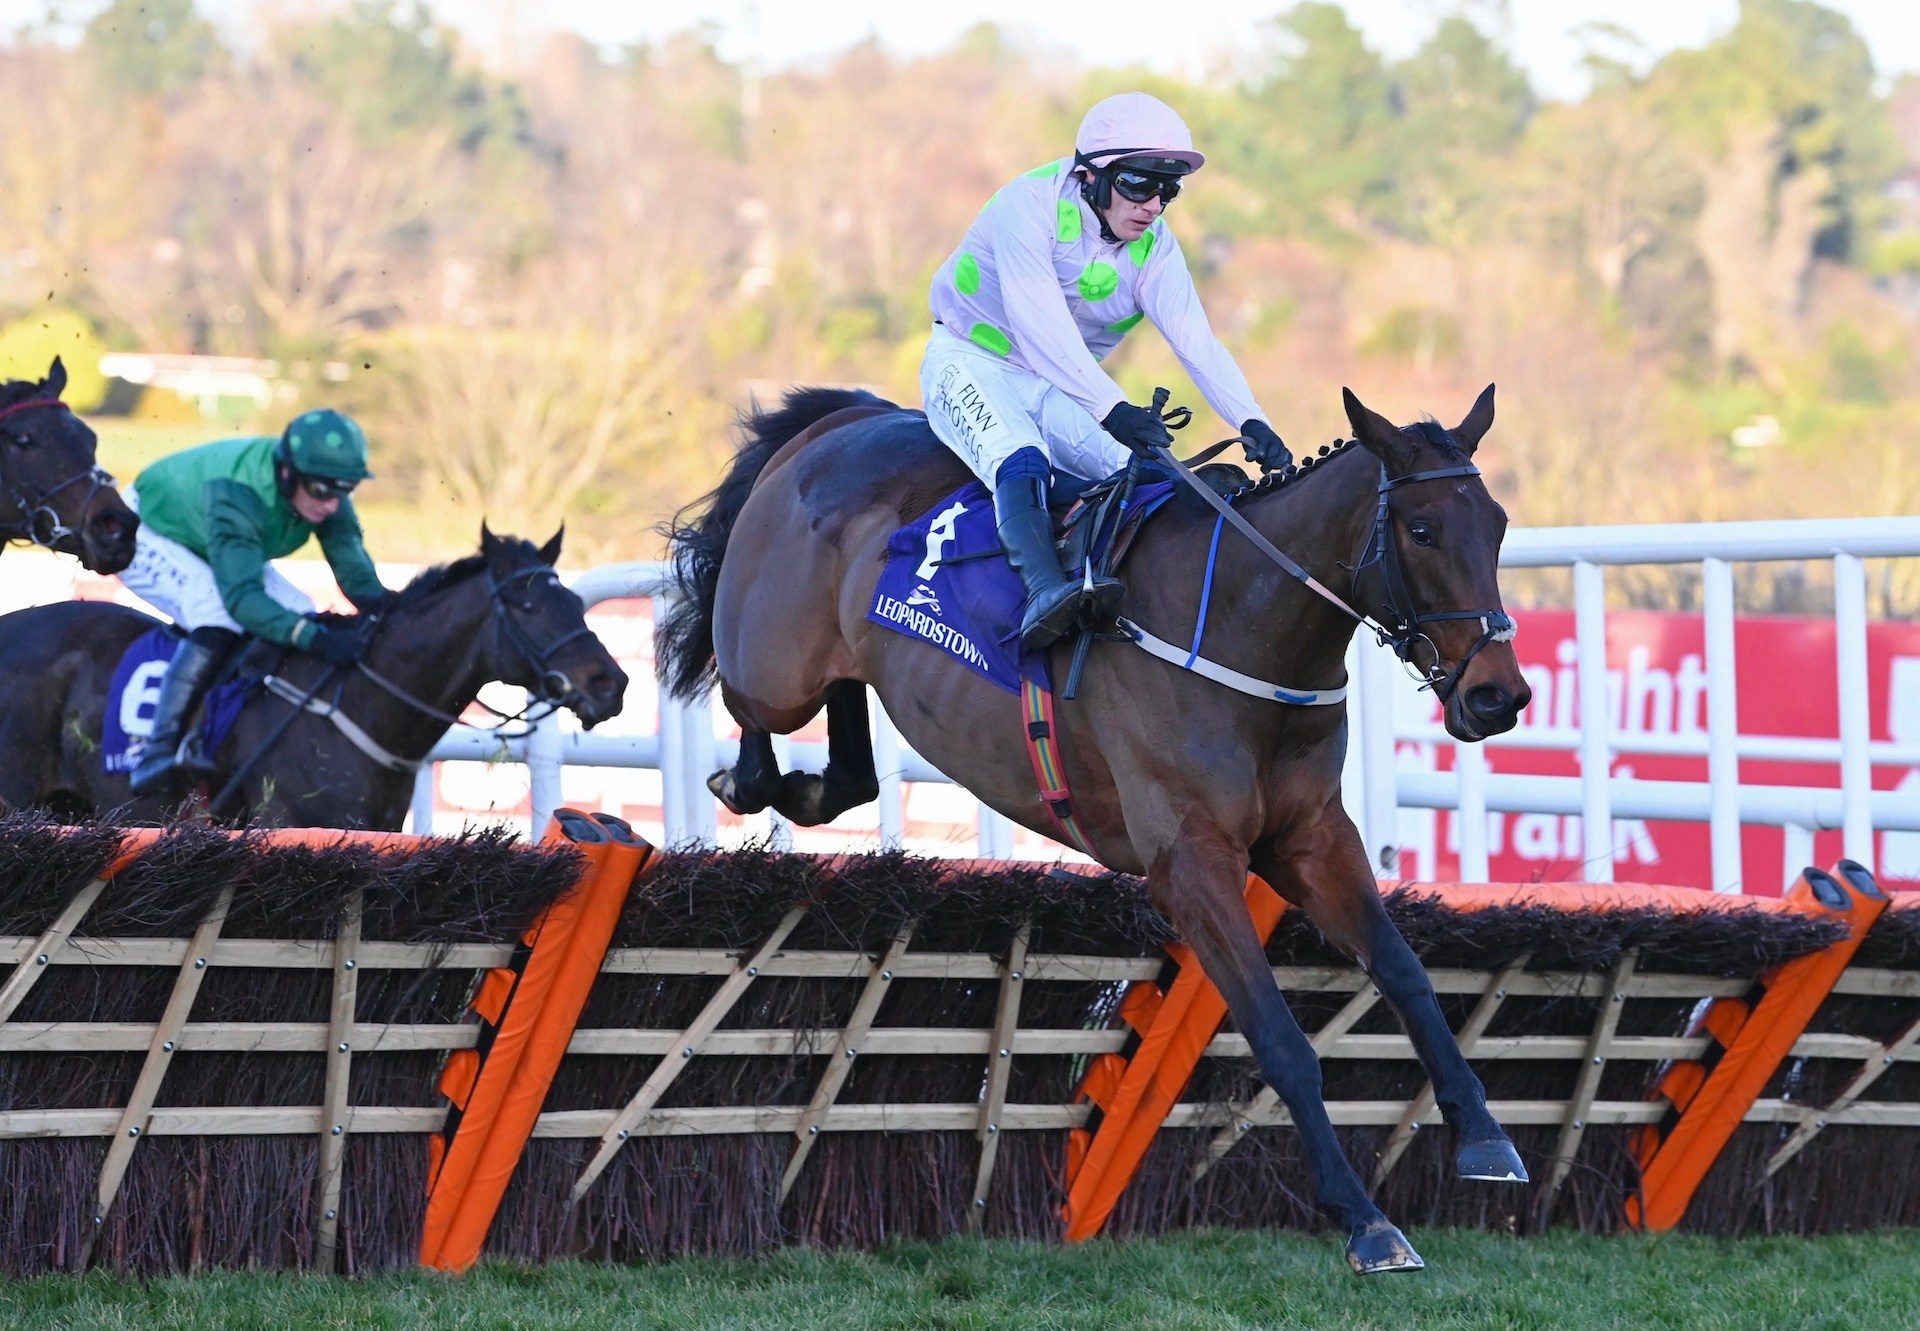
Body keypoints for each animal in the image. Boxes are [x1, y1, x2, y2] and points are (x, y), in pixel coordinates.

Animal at [668, 382, 1536, 1267]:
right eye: (1422, 529)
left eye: (1497, 523)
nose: (1499, 696)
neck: (1241, 626)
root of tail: (840, 420)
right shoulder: (1190, 864)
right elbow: (1281, 1040)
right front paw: (1364, 1217)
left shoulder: (1314, 838)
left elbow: (1407, 974)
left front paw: (1485, 1134)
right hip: (774, 666)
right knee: (747, 697)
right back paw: (744, 776)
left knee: (848, 755)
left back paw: (812, 786)